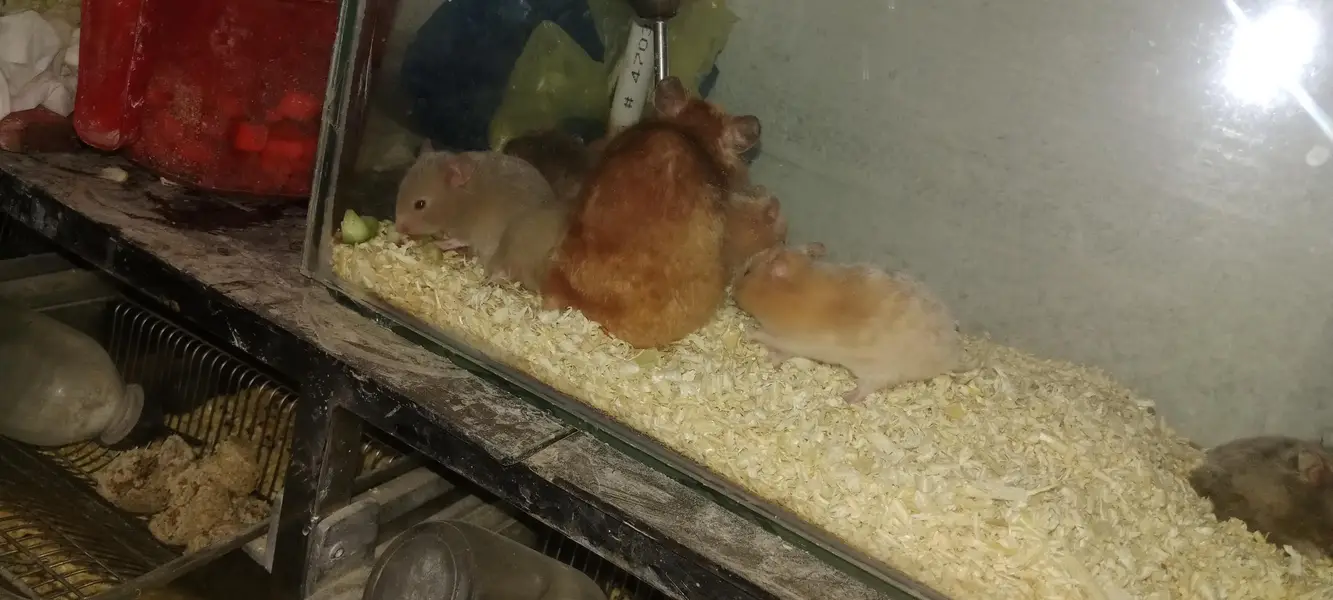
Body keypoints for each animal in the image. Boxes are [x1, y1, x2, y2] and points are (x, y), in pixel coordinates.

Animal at [393, 148, 557, 268]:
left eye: (420, 204)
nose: (398, 228)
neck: (461, 202)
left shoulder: (470, 230)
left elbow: (458, 240)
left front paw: (438, 243)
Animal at [732, 244, 969, 404]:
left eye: (747, 272)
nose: (732, 291)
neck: (790, 292)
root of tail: (951, 357)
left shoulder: (788, 339)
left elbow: (768, 340)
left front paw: (751, 337)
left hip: (879, 370)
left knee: (866, 388)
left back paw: (845, 397)